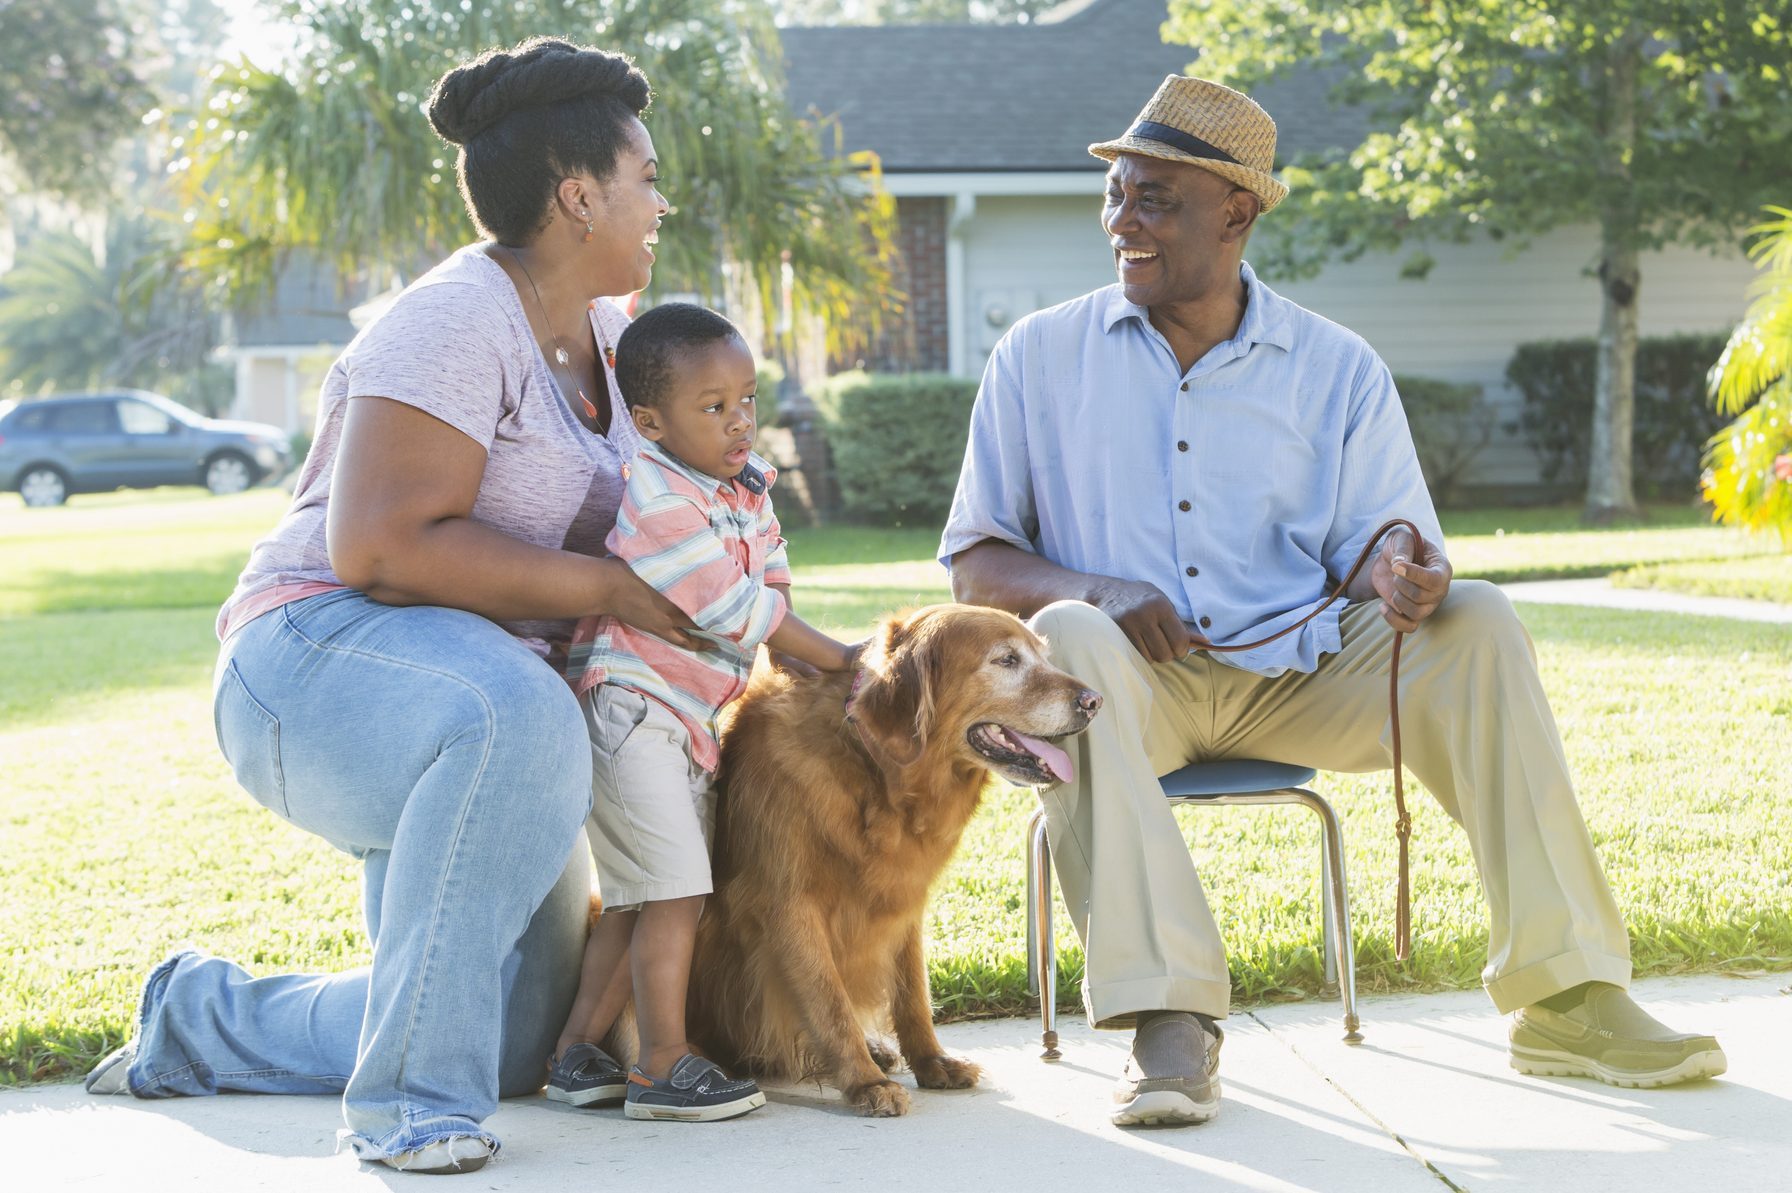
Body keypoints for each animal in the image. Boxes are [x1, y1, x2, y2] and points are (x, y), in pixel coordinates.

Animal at [684, 605, 1096, 1117]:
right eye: (1006, 660)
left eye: (1043, 654)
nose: (1094, 701)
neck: (877, 774)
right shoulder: (787, 905)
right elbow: (829, 1000)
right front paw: (864, 1081)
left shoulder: (903, 898)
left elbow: (912, 993)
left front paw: (932, 1061)